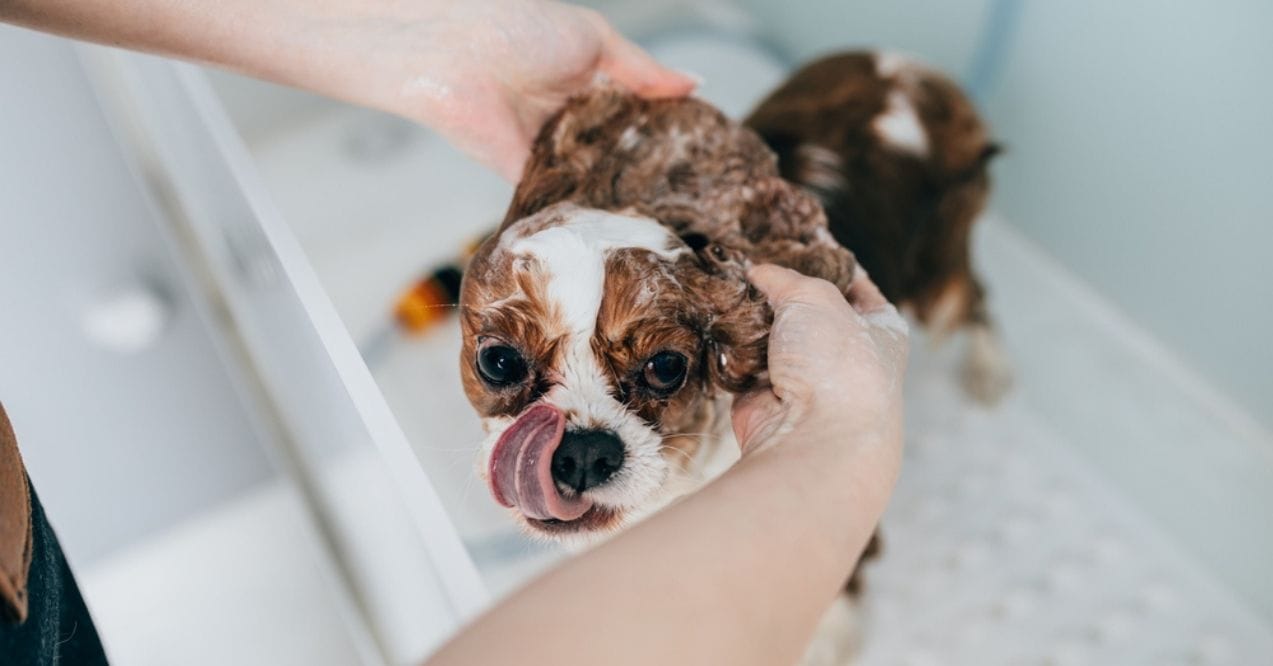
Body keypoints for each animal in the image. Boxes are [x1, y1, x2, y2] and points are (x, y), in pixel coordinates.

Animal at [458, 50, 1003, 662]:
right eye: (499, 362)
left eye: (667, 367)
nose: (581, 453)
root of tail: (915, 72)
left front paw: (831, 638)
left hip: (939, 284)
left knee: (976, 298)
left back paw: (989, 371)